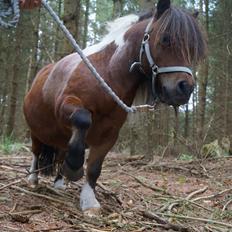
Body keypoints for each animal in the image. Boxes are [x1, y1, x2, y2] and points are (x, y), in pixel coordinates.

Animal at [23, 0, 207, 216]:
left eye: (193, 49)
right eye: (165, 39)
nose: (185, 89)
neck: (107, 73)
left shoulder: (109, 134)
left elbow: (94, 168)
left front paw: (89, 201)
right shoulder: (66, 105)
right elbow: (83, 119)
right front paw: (74, 168)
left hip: (60, 137)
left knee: (60, 155)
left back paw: (59, 184)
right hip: (37, 132)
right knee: (36, 152)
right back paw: (33, 179)